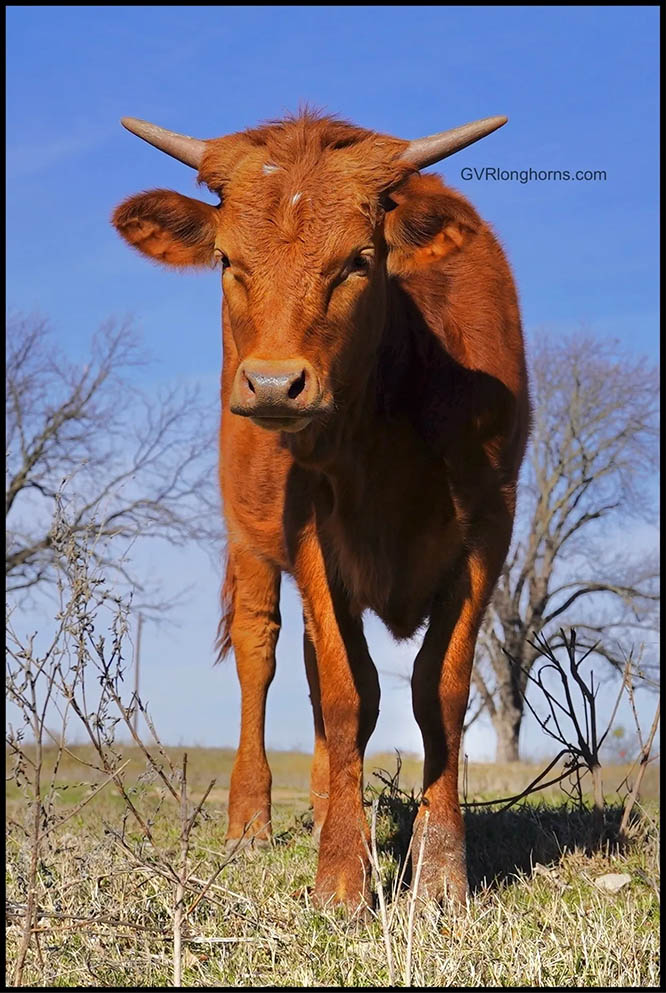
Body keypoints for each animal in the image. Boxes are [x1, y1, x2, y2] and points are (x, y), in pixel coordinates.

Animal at [113, 112, 528, 912]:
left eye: (359, 261)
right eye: (226, 260)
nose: (276, 384)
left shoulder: (488, 532)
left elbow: (440, 691)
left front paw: (438, 871)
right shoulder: (307, 530)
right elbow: (348, 696)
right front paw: (342, 872)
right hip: (247, 536)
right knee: (263, 652)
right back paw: (254, 819)